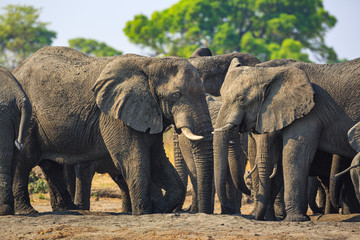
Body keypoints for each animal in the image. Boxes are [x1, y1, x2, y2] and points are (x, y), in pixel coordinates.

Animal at [11, 46, 214, 215]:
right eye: (176, 95)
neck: (151, 64)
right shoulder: (114, 115)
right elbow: (132, 157)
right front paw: (143, 212)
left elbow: (157, 160)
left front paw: (157, 208)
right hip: (27, 119)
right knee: (25, 160)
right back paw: (27, 211)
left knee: (50, 165)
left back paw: (67, 209)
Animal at [214, 57, 360, 221]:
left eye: (241, 99)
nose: (228, 210)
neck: (270, 72)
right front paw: (272, 219)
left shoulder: (309, 111)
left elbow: (295, 155)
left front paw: (296, 219)